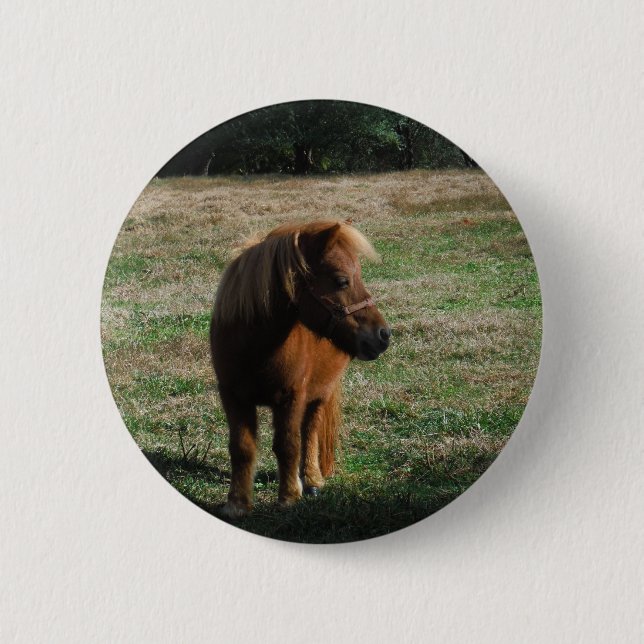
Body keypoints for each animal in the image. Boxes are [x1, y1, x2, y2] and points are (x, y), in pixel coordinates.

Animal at [210, 219, 391, 518]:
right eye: (342, 280)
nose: (383, 335)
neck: (255, 346)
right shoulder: (233, 397)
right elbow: (242, 448)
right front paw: (237, 504)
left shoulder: (292, 396)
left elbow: (288, 445)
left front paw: (289, 497)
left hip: (321, 393)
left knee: (310, 430)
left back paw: (311, 479)